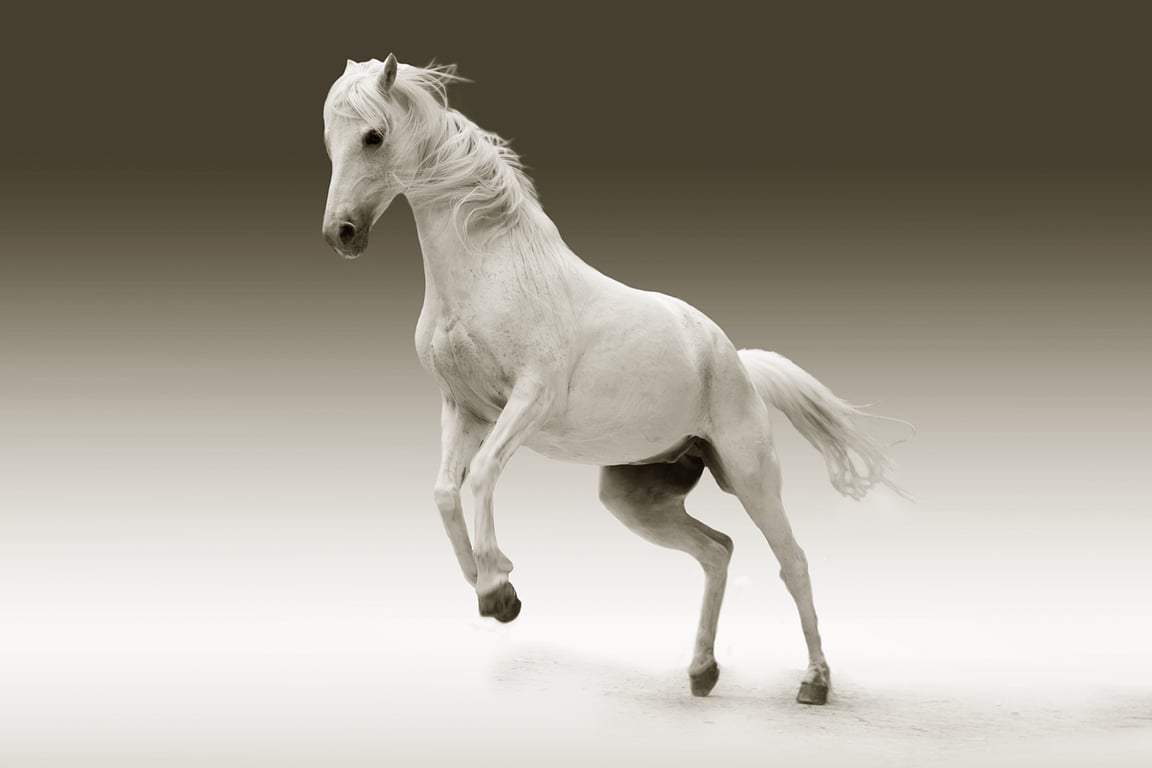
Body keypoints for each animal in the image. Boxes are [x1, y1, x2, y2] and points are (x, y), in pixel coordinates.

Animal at [321, 54, 905, 705]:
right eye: (329, 139)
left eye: (373, 136)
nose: (341, 233)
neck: (491, 271)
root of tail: (735, 361)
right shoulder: (462, 408)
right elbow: (446, 491)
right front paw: (494, 589)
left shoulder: (529, 400)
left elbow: (483, 476)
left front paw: (498, 587)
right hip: (636, 497)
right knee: (717, 551)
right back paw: (702, 671)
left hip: (751, 475)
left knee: (793, 561)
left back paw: (815, 682)